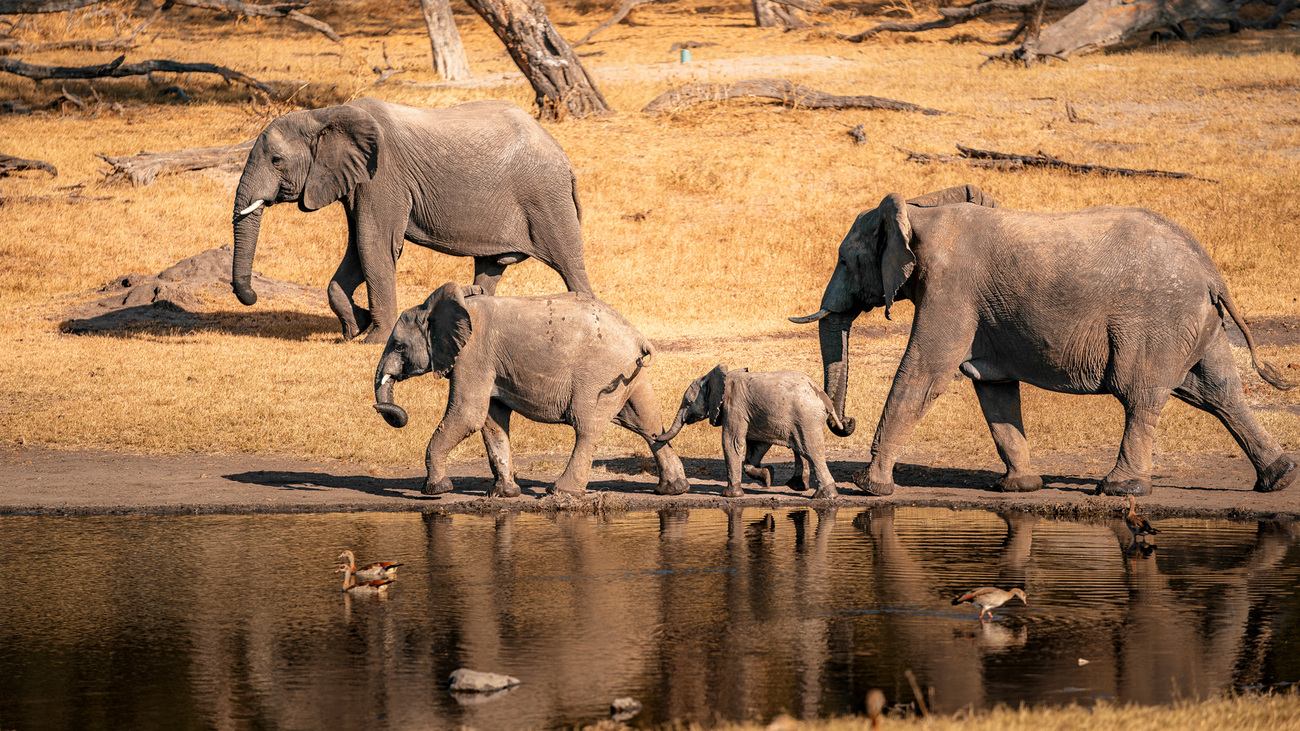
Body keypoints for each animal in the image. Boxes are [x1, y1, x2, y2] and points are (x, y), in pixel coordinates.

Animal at [231, 96, 592, 340]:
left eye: (276, 160)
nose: (251, 296)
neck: (325, 114)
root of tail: (564, 156)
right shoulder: (357, 182)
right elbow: (357, 250)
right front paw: (355, 328)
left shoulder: (383, 178)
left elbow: (373, 244)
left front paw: (373, 339)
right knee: (491, 268)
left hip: (546, 198)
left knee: (570, 264)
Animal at [371, 278, 691, 494]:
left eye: (398, 346)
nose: (394, 412)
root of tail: (639, 338)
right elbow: (492, 421)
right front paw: (504, 495)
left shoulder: (474, 353)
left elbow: (467, 415)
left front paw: (436, 490)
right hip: (628, 374)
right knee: (648, 423)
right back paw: (673, 489)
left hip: (598, 374)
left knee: (586, 427)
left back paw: (560, 492)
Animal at [655, 361, 847, 496]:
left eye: (687, 403)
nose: (655, 435)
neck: (716, 377)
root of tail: (824, 399)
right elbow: (756, 447)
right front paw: (768, 477)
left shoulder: (735, 406)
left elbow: (731, 442)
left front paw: (729, 495)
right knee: (802, 449)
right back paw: (800, 487)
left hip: (806, 418)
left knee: (811, 450)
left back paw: (825, 495)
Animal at [785, 184, 1294, 496]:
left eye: (846, 260)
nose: (845, 422)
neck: (918, 211)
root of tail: (1211, 271)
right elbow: (993, 388)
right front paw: (1020, 488)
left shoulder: (951, 288)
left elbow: (922, 373)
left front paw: (867, 487)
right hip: (1197, 322)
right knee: (1220, 392)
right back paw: (1279, 478)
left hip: (1158, 321)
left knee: (1141, 395)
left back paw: (1118, 488)